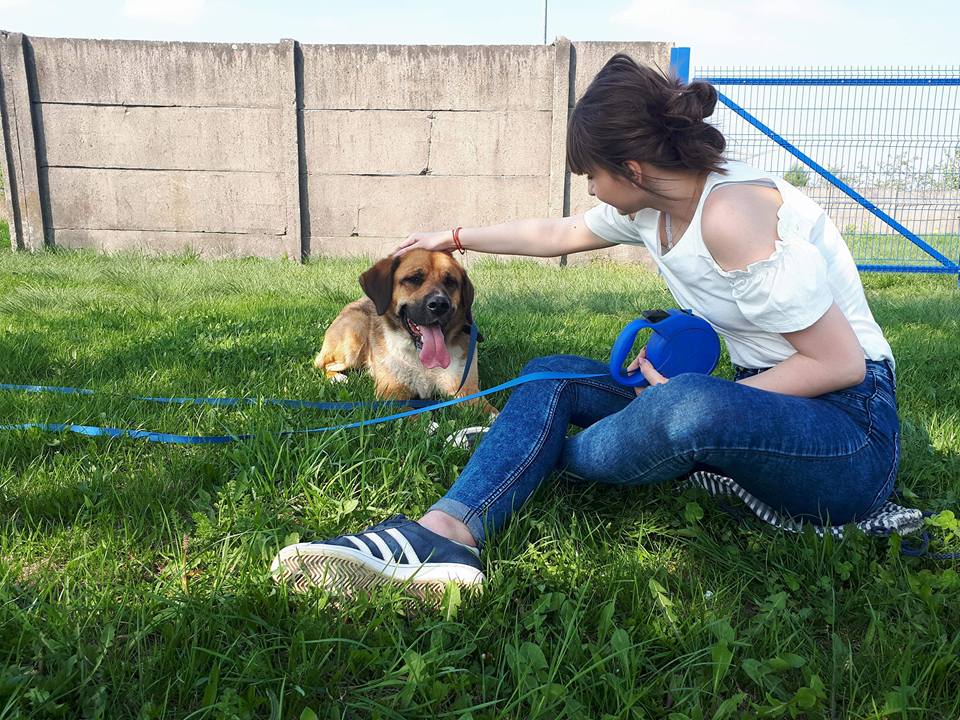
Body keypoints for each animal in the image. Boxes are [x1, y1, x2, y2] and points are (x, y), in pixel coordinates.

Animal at [315, 249, 497, 415]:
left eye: (450, 281)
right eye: (414, 279)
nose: (439, 305)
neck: (420, 357)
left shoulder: (467, 389)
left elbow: (493, 413)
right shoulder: (390, 394)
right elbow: (412, 416)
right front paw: (429, 425)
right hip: (354, 338)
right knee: (321, 363)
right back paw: (338, 378)